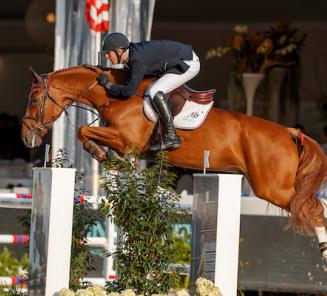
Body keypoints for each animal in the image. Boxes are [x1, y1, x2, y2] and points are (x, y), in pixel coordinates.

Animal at [21, 64, 327, 256]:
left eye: (34, 100)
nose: (27, 139)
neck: (117, 96)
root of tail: (289, 132)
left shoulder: (127, 139)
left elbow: (84, 130)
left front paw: (101, 153)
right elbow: (87, 133)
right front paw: (107, 156)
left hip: (272, 188)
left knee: (315, 209)